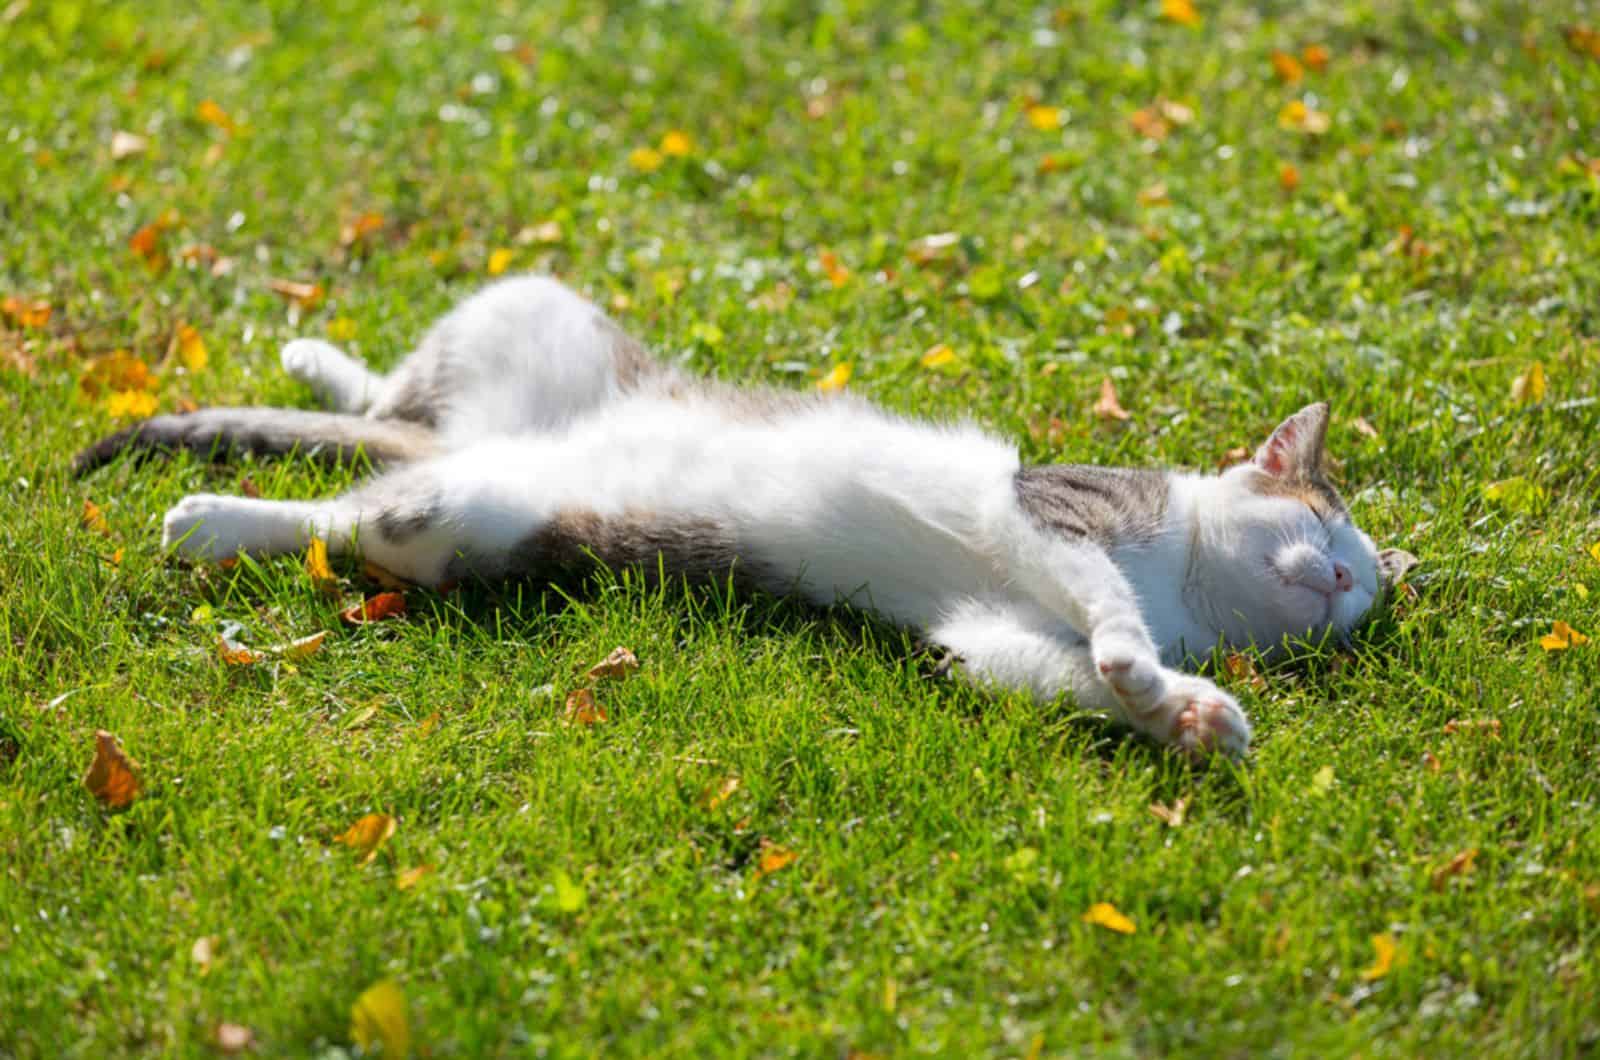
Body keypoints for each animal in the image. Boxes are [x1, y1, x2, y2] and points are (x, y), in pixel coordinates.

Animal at [72, 270, 1414, 758]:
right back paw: (241, 463)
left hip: (474, 525)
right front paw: (1144, 665)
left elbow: (1048, 666)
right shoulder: (1059, 516)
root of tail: (474, 446)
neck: (1189, 584)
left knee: (357, 507)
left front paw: (1182, 713)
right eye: (1324, 525)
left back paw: (221, 515)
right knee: (370, 432)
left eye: (1362, 595)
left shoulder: (983, 632)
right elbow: (1103, 608)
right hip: (530, 310)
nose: (1347, 581)